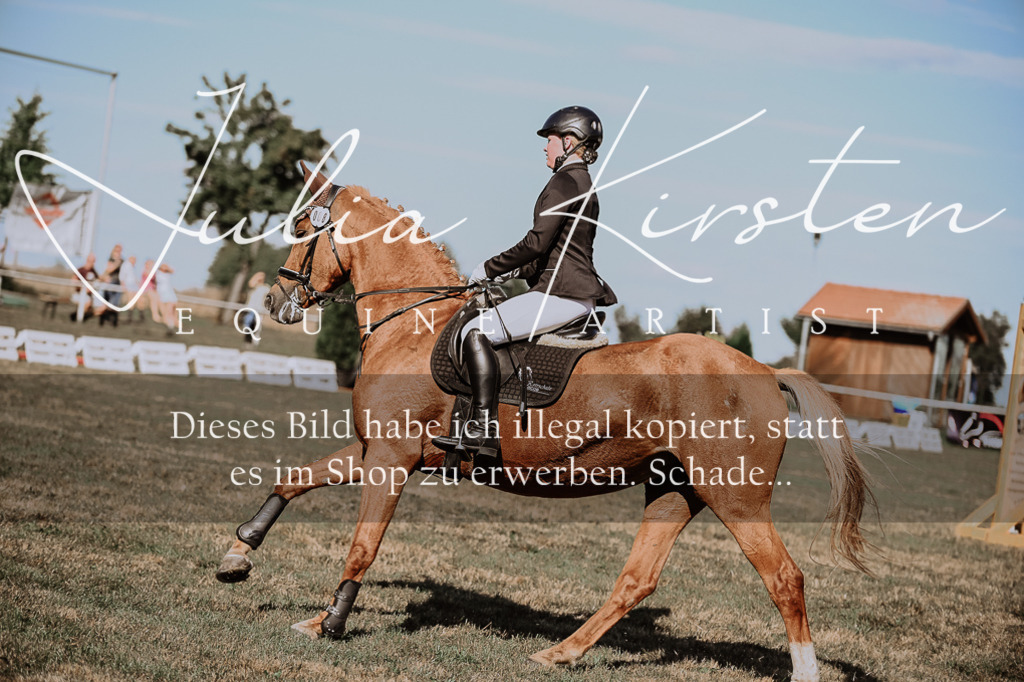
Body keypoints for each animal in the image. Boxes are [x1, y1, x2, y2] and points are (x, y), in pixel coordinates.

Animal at [216, 162, 875, 682]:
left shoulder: (392, 460)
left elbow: (362, 546)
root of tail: (765, 371)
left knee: (785, 579)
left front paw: (329, 623)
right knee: (637, 580)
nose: (274, 302)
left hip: (736, 497)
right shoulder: (374, 450)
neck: (412, 323)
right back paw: (559, 654)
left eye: (304, 230)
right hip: (674, 488)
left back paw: (803, 672)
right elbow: (293, 479)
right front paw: (237, 556)